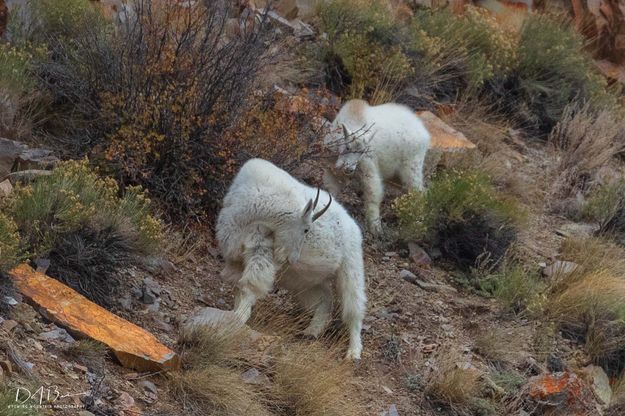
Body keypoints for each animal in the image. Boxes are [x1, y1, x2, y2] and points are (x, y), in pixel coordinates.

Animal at [217, 158, 368, 360]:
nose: (291, 259)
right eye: (306, 229)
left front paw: (238, 319)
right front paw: (233, 314)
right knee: (325, 298)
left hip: (350, 266)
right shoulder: (236, 256)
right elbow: (237, 289)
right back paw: (311, 332)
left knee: (354, 308)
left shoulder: (261, 250)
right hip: (304, 280)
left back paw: (353, 352)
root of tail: (353, 225)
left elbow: (249, 287)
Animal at [322, 97, 428, 234]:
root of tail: (425, 133)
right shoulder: (332, 167)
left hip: (412, 166)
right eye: (347, 147)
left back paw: (417, 223)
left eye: (362, 152)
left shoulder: (368, 167)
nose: (349, 169)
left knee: (418, 192)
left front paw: (375, 228)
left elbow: (373, 194)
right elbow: (331, 188)